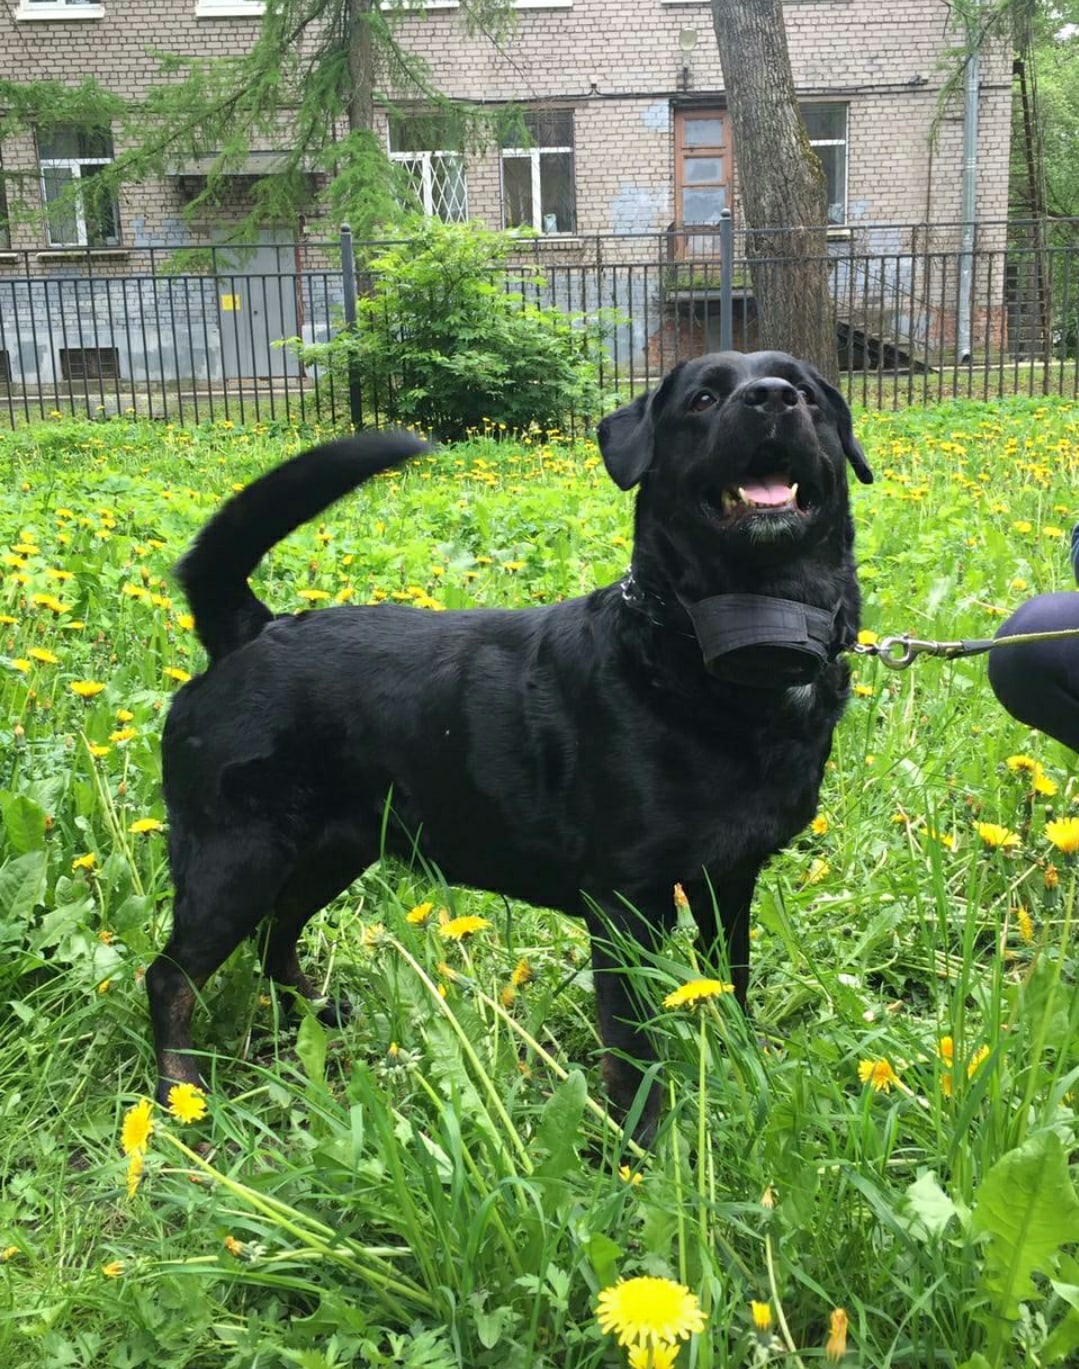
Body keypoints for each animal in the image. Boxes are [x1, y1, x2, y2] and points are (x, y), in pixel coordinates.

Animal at [147, 350, 870, 1133]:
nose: (772, 397)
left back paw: (309, 1012)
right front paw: (642, 1141)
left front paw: (740, 1065)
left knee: (274, 934)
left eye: (806, 393)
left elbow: (729, 982)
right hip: (236, 859)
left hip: (330, 849)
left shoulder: (729, 881)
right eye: (703, 399)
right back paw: (179, 1091)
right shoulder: (626, 905)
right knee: (170, 975)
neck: (722, 645)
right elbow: (633, 1049)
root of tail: (249, 630)